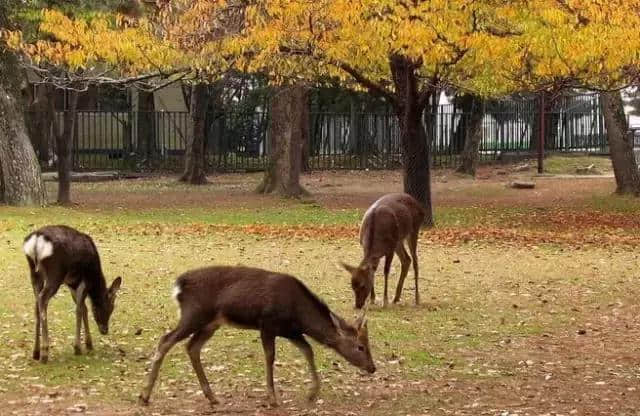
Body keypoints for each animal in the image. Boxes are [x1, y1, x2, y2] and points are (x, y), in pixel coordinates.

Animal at [23, 224, 122, 364]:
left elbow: (84, 308)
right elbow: (79, 310)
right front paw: (78, 347)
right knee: (43, 299)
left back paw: (36, 352)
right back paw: (45, 352)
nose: (104, 330)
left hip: (34, 273)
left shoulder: (71, 283)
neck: (95, 274)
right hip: (55, 273)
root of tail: (36, 241)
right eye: (109, 308)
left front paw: (89, 344)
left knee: (36, 305)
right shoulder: (84, 280)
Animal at [139, 266, 376, 406]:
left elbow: (308, 350)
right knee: (166, 340)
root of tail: (178, 286)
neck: (298, 314)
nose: (372, 367)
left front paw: (312, 393)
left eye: (368, 344)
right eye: (360, 346)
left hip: (211, 323)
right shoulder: (268, 323)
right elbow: (270, 356)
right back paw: (144, 396)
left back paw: (212, 396)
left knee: (192, 347)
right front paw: (272, 398)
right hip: (195, 314)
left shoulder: (291, 331)